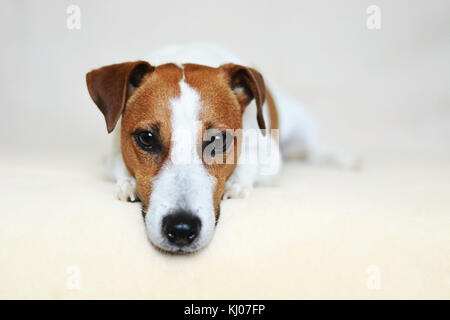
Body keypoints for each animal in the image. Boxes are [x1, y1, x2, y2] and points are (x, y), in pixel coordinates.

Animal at [85, 43, 358, 254]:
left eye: (217, 140)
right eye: (147, 138)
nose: (181, 229)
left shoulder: (270, 157)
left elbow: (249, 162)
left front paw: (235, 184)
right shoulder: (115, 151)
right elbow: (118, 165)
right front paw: (128, 184)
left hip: (303, 127)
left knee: (315, 150)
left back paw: (344, 158)